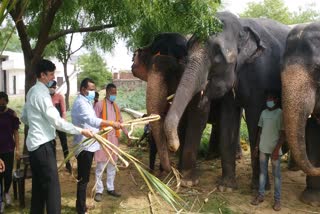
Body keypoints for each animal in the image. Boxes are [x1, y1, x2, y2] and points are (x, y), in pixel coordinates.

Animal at [164, 11, 292, 189]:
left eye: (218, 55)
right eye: (187, 53)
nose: (174, 145)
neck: (241, 24)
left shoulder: (260, 76)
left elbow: (255, 119)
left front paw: (258, 188)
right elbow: (228, 119)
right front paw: (226, 187)